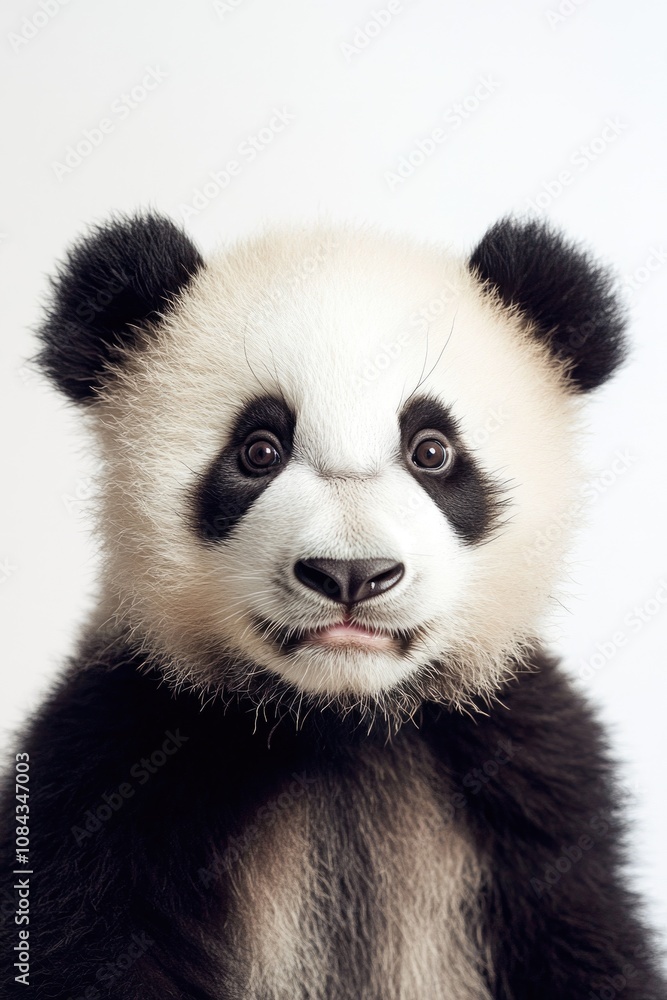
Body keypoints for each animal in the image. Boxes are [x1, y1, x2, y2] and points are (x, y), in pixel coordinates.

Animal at [1, 212, 665, 1000]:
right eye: (258, 449)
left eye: (432, 450)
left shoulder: (536, 787)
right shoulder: (113, 768)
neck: (340, 720)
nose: (351, 574)